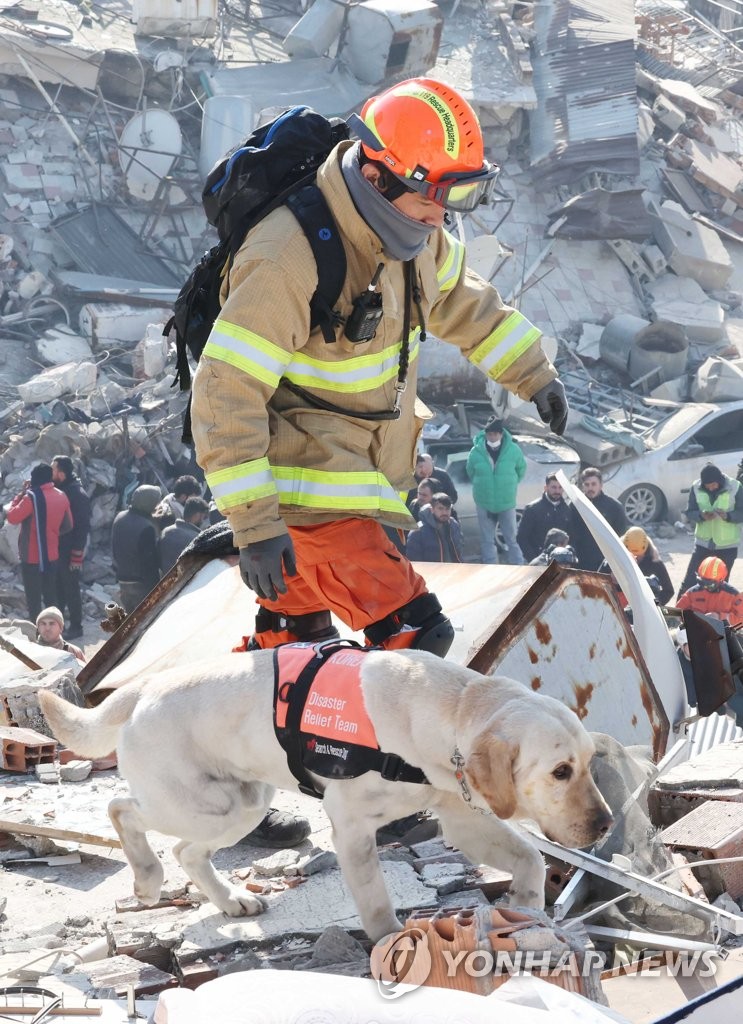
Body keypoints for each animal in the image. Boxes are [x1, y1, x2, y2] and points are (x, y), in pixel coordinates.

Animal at [40, 651, 609, 937]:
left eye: (589, 763)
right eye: (560, 771)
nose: (605, 825)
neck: (452, 707)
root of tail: (142, 688)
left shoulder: (461, 816)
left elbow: (531, 858)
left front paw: (528, 906)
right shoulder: (353, 828)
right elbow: (376, 903)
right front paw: (390, 944)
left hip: (243, 804)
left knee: (187, 850)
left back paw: (230, 901)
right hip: (199, 805)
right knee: (123, 809)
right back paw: (147, 879)